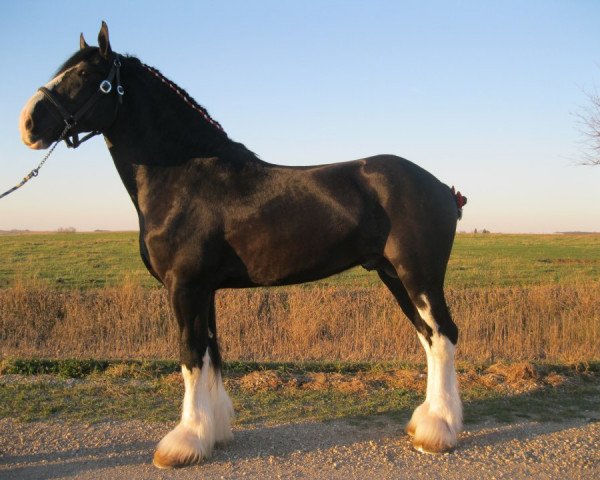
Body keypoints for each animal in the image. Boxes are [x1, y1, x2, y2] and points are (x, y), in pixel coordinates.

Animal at [18, 23, 466, 468]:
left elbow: (190, 356)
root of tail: (443, 189)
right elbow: (211, 355)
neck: (184, 179)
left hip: (419, 277)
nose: (28, 123)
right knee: (429, 338)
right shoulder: (204, 290)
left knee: (444, 336)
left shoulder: (184, 287)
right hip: (395, 276)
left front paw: (183, 442)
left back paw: (438, 431)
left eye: (83, 74)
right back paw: (426, 422)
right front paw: (212, 431)